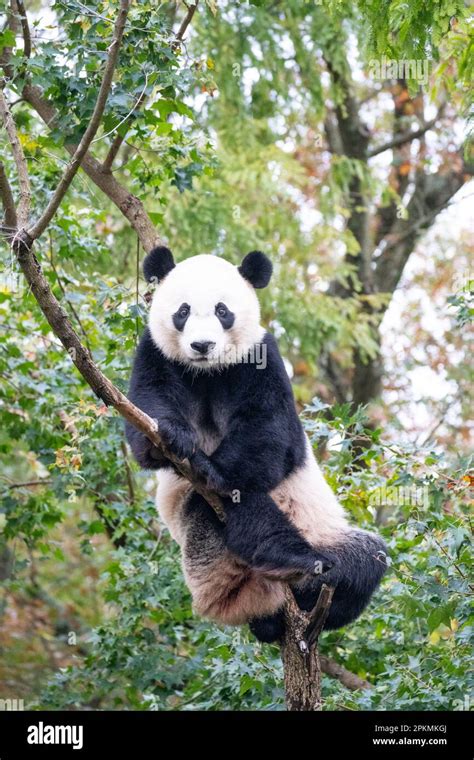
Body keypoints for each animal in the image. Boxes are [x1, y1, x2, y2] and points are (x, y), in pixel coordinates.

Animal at [125, 248, 386, 640]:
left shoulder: (261, 357)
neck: (208, 372)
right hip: (197, 542)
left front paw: (212, 467)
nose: (202, 346)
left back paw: (301, 574)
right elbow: (147, 408)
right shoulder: (156, 353)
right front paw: (173, 436)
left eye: (222, 310)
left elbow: (271, 433)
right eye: (183, 311)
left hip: (324, 535)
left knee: (367, 560)